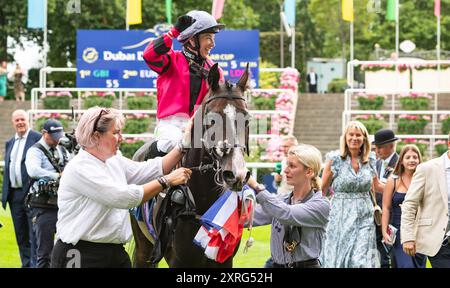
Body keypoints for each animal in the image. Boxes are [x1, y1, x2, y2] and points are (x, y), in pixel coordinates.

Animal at [130, 63, 251, 268]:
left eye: (247, 119)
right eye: (212, 119)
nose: (236, 174)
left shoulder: (223, 260)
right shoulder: (179, 260)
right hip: (142, 249)